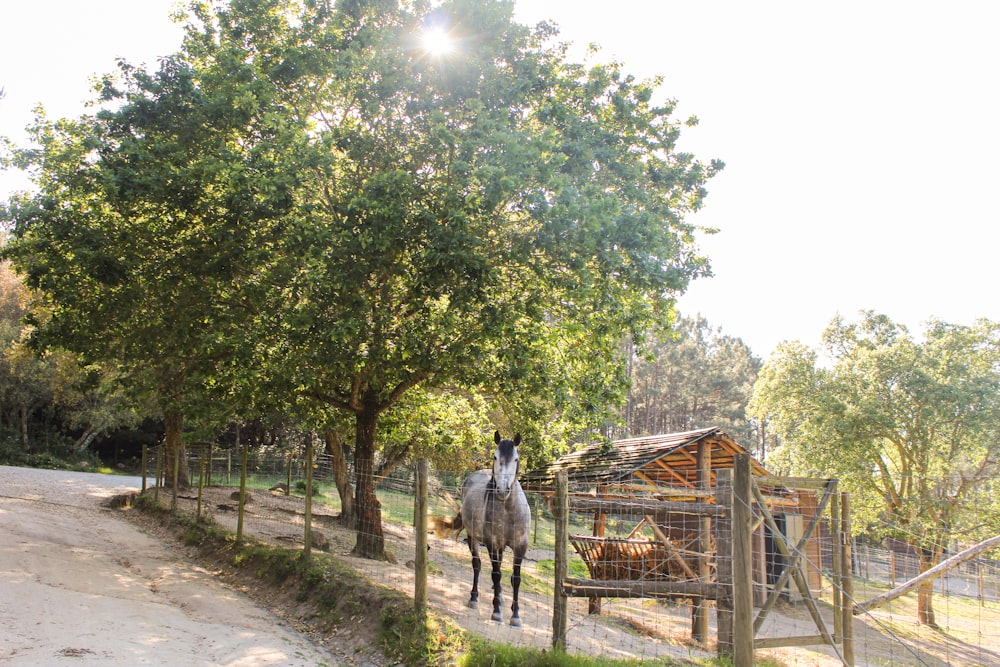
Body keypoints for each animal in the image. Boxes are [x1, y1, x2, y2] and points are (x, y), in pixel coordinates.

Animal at [452, 434, 532, 628]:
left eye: (516, 459)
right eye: (495, 457)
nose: (502, 490)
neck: (509, 510)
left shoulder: (520, 546)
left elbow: (516, 579)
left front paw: (515, 616)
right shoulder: (492, 544)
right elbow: (496, 574)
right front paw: (497, 612)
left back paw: (501, 597)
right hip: (474, 539)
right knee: (477, 565)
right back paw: (474, 599)